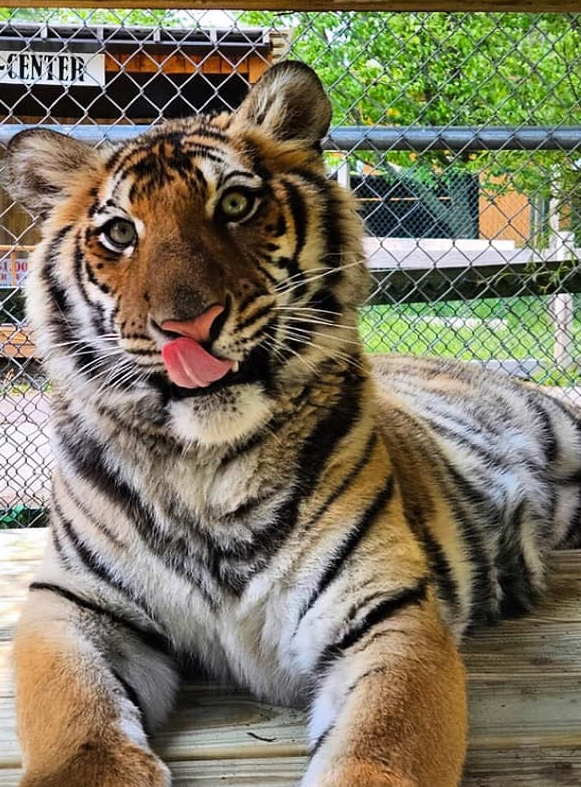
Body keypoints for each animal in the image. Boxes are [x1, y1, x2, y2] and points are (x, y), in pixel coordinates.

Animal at [4, 61, 580, 787]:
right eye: (120, 233)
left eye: (233, 205)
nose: (186, 324)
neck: (202, 470)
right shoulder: (74, 603)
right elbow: (75, 721)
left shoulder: (384, 613)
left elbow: (378, 750)